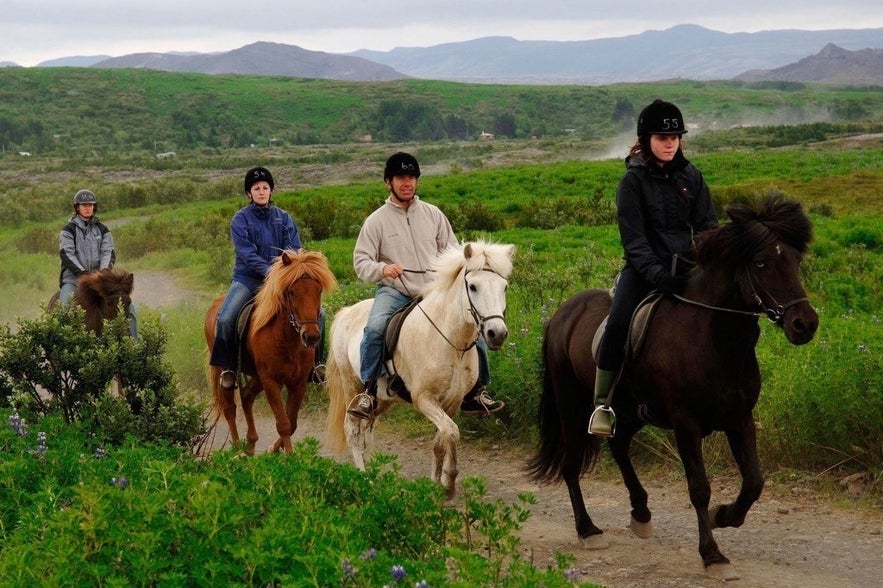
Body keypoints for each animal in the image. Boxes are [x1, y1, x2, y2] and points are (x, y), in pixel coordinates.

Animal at [204, 248, 338, 454]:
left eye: (318, 290)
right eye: (292, 292)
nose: (311, 337)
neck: (287, 340)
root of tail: (214, 306)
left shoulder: (298, 383)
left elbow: (292, 423)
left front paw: (273, 451)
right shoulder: (271, 381)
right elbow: (283, 424)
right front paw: (288, 457)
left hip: (256, 375)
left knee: (246, 396)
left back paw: (250, 446)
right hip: (225, 370)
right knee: (229, 407)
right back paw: (237, 449)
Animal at [328, 241, 516, 498]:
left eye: (504, 286)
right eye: (473, 286)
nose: (497, 334)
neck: (449, 341)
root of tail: (345, 312)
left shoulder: (453, 401)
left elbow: (442, 440)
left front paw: (437, 483)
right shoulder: (424, 399)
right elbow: (452, 433)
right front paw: (449, 483)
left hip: (382, 398)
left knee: (368, 428)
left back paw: (376, 471)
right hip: (352, 387)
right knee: (353, 430)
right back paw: (365, 477)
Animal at [524, 196, 820, 580]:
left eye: (796, 260)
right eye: (761, 262)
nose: (805, 324)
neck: (714, 339)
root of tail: (562, 313)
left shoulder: (739, 418)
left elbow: (754, 482)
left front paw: (724, 516)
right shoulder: (685, 424)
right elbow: (699, 487)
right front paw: (713, 555)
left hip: (631, 410)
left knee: (619, 446)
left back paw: (641, 513)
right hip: (571, 404)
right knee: (572, 464)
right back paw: (588, 530)